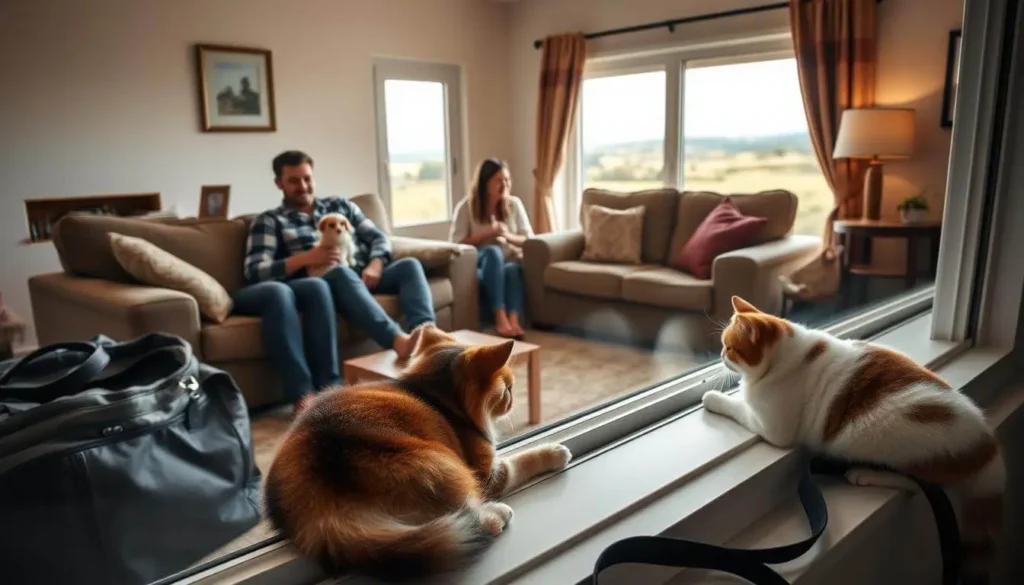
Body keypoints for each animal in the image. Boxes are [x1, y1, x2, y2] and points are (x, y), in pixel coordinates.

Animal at [262, 323, 569, 581]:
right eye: (507, 389)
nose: (513, 400)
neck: (436, 392)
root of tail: (325, 507)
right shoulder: (488, 473)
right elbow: (521, 459)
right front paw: (554, 451)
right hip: (443, 464)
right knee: (465, 509)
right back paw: (496, 516)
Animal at [700, 297, 1003, 585]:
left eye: (729, 347)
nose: (721, 354)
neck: (787, 355)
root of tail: (987, 444)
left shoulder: (774, 429)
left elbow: (738, 408)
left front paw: (715, 398)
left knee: (922, 483)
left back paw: (864, 474)